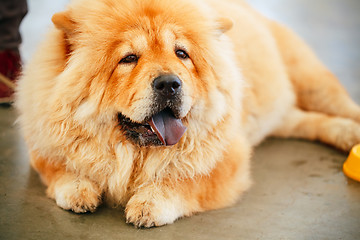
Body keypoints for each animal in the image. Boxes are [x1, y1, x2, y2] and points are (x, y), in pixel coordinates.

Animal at [16, 0, 360, 227]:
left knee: (341, 106)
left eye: (181, 54)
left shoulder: (227, 159)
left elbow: (187, 179)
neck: (134, 154)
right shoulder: (43, 142)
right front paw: (79, 190)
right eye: (129, 58)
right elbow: (59, 168)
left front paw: (150, 202)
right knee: (309, 121)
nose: (169, 83)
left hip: (312, 82)